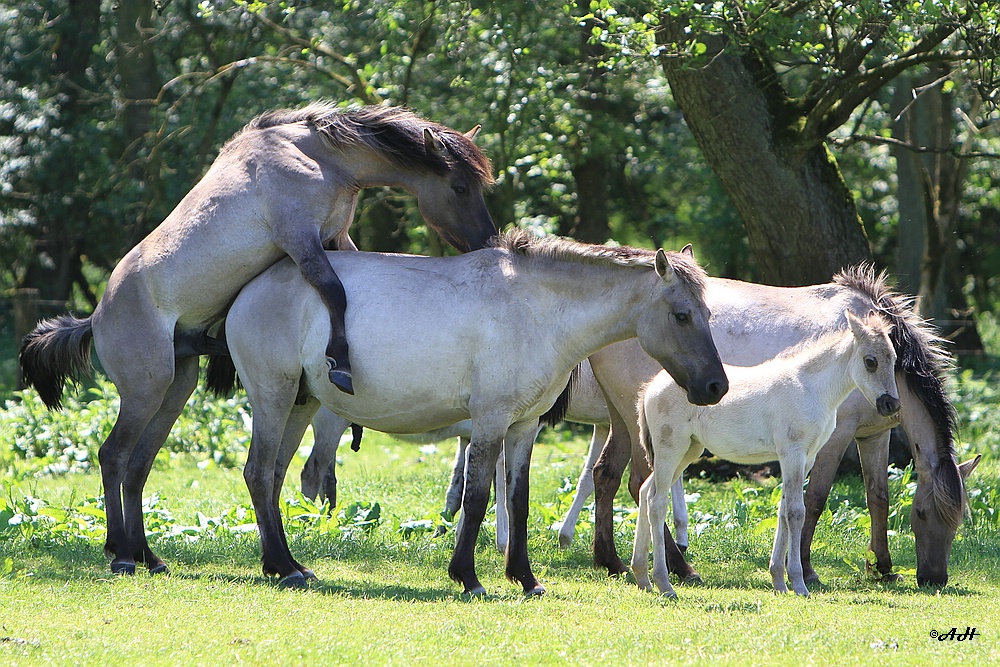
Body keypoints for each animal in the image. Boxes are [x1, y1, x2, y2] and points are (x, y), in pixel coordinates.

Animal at [18, 103, 496, 580]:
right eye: (458, 186)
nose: (488, 240)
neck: (314, 155)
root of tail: (96, 318)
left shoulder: (335, 237)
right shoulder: (302, 240)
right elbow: (335, 291)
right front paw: (340, 365)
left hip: (174, 390)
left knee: (137, 466)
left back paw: (148, 556)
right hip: (144, 390)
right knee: (113, 456)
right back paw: (120, 553)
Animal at [225, 231, 728, 596]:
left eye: (706, 312)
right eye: (682, 315)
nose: (716, 386)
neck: (536, 311)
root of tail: (248, 288)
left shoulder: (524, 427)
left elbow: (518, 501)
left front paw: (525, 578)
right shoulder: (489, 422)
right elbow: (478, 497)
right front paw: (467, 576)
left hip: (300, 404)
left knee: (274, 475)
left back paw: (285, 564)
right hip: (274, 397)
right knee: (258, 472)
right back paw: (284, 566)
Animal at [636, 314, 904, 600]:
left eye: (894, 359)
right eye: (870, 361)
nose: (891, 405)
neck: (811, 389)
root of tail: (650, 387)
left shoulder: (806, 458)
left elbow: (784, 511)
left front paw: (779, 581)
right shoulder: (792, 454)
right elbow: (796, 512)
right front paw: (799, 584)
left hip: (688, 451)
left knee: (645, 491)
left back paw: (642, 576)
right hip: (670, 449)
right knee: (657, 502)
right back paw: (664, 583)